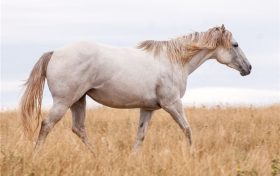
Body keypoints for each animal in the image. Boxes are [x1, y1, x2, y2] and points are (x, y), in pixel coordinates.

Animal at [19, 24, 252, 153]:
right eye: (235, 44)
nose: (248, 68)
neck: (175, 61)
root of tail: (54, 52)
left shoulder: (147, 108)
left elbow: (140, 135)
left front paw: (134, 158)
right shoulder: (172, 104)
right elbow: (187, 129)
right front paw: (192, 154)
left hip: (78, 100)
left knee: (78, 128)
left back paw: (99, 156)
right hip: (64, 101)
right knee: (46, 125)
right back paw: (36, 155)